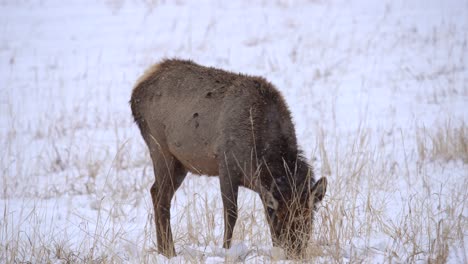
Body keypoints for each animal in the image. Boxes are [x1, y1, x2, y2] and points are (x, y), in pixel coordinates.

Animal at [128, 58, 326, 258]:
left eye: (308, 218)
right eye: (280, 219)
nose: (295, 252)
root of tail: (137, 89)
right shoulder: (226, 165)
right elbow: (231, 213)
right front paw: (225, 250)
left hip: (179, 164)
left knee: (156, 192)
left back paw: (164, 249)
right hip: (160, 148)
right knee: (161, 199)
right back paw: (169, 252)